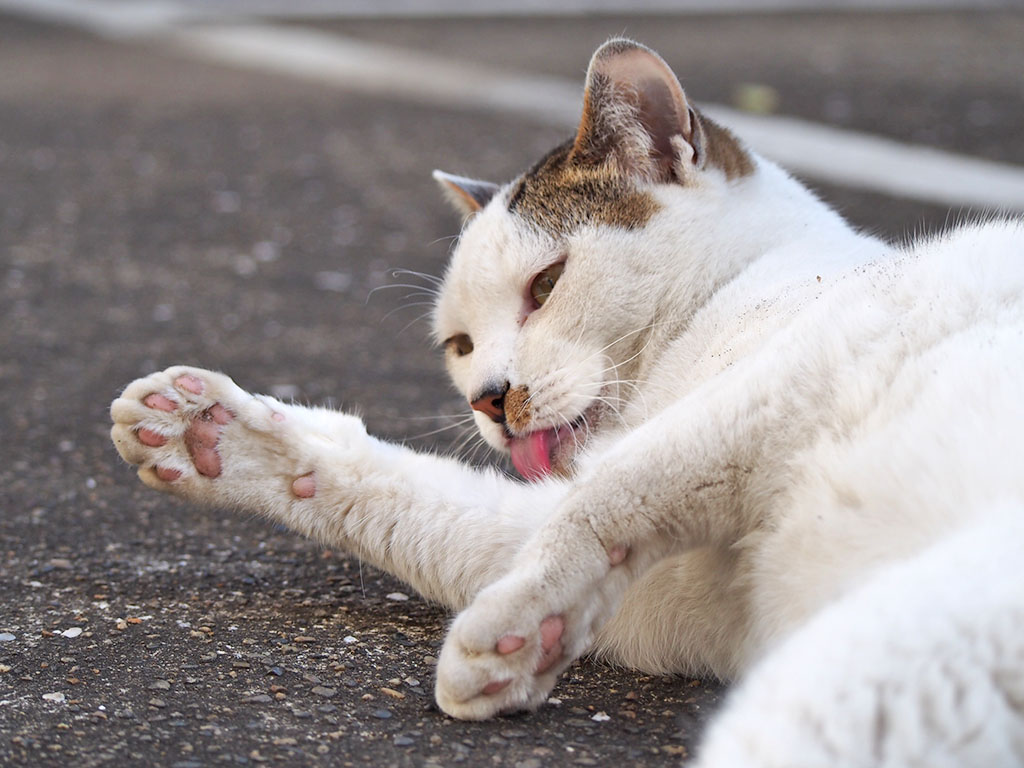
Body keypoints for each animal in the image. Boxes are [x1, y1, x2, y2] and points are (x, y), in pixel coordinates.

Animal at [112, 40, 1024, 768]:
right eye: (460, 345)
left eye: (547, 286)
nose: (489, 398)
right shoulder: (675, 593)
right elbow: (427, 511)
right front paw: (210, 438)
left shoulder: (774, 387)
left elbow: (600, 500)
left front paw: (511, 631)